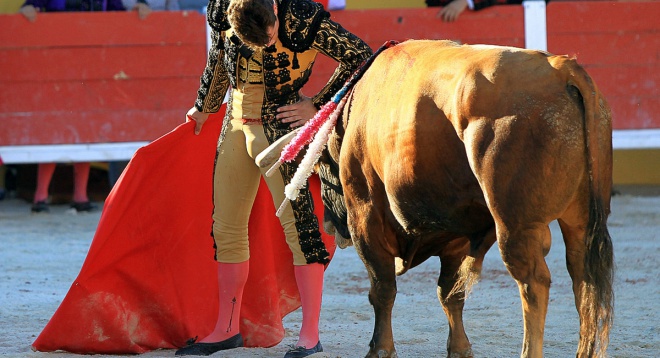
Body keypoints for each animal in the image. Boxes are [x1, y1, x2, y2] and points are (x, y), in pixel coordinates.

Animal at [256, 39, 612, 358]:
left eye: (319, 167)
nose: (330, 224)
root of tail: (562, 70)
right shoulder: (457, 233)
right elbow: (451, 293)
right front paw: (460, 349)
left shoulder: (366, 218)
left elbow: (382, 290)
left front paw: (380, 349)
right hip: (581, 220)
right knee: (584, 282)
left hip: (515, 224)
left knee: (534, 283)